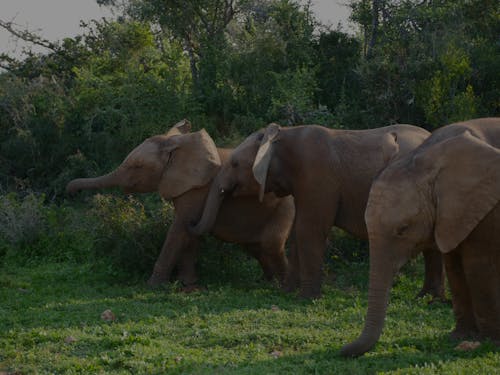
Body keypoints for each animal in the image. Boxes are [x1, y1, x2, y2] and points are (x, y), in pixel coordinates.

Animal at [65, 119, 292, 288]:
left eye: (136, 166)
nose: (70, 191)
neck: (178, 146)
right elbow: (188, 234)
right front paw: (188, 283)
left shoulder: (198, 188)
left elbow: (180, 227)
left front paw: (153, 286)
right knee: (255, 247)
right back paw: (269, 281)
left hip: (284, 208)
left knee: (270, 244)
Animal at [191, 122, 446, 300]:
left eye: (235, 164)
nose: (191, 224)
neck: (282, 135)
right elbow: (297, 233)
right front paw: (287, 292)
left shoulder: (316, 175)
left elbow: (309, 230)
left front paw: (306, 298)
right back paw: (427, 298)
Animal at [340, 118, 500, 358]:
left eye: (403, 229)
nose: (341, 348)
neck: (428, 157)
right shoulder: (452, 215)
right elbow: (454, 267)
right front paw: (459, 337)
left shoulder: (484, 205)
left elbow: (478, 267)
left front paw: (489, 341)